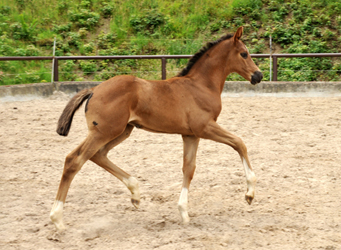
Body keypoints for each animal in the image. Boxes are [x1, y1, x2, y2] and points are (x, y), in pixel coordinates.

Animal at [50, 26, 262, 230]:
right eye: (244, 54)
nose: (258, 75)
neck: (200, 86)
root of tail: (93, 89)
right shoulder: (204, 127)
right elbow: (239, 143)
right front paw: (250, 193)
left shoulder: (190, 135)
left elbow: (189, 168)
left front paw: (183, 212)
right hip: (105, 132)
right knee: (74, 160)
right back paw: (57, 219)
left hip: (121, 131)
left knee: (98, 155)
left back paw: (135, 192)